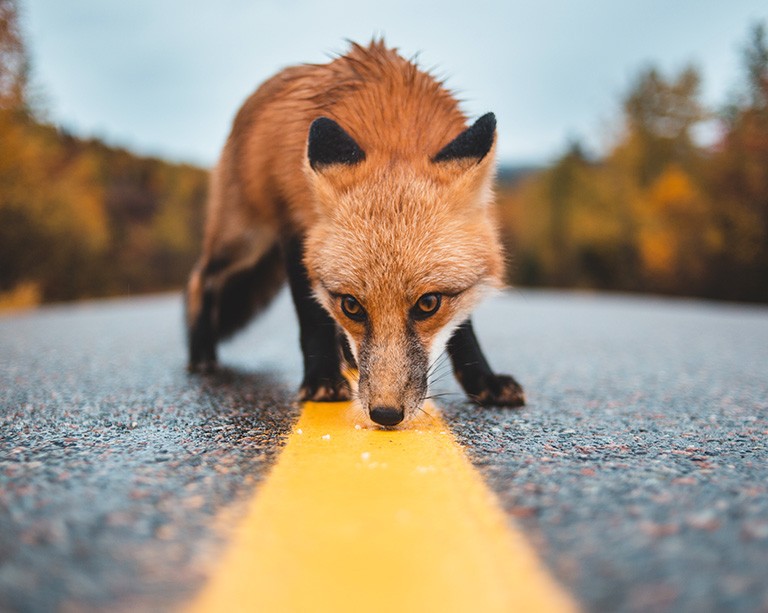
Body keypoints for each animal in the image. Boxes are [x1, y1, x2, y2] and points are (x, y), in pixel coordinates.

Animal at [184, 40, 524, 426]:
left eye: (428, 304)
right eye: (352, 306)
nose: (386, 414)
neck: (393, 124)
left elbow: (463, 328)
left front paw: (483, 379)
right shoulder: (296, 230)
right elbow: (312, 315)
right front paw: (321, 380)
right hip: (244, 239)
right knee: (201, 278)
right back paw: (201, 352)